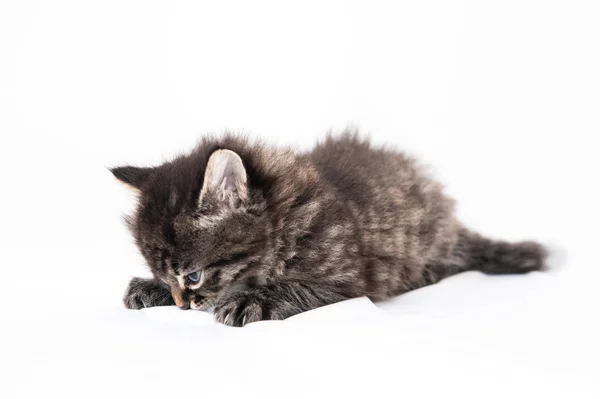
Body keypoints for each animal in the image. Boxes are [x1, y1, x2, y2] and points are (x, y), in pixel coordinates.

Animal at [110, 133, 548, 326]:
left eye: (193, 276)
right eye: (166, 277)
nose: (183, 305)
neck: (285, 217)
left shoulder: (347, 278)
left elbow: (295, 287)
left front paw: (249, 300)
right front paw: (147, 289)